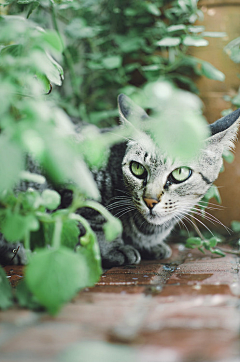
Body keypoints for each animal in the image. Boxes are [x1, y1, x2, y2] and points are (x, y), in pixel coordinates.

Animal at [1, 94, 240, 268]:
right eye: (137, 168)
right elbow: (95, 217)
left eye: (180, 173)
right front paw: (113, 249)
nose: (150, 201)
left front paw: (152, 246)